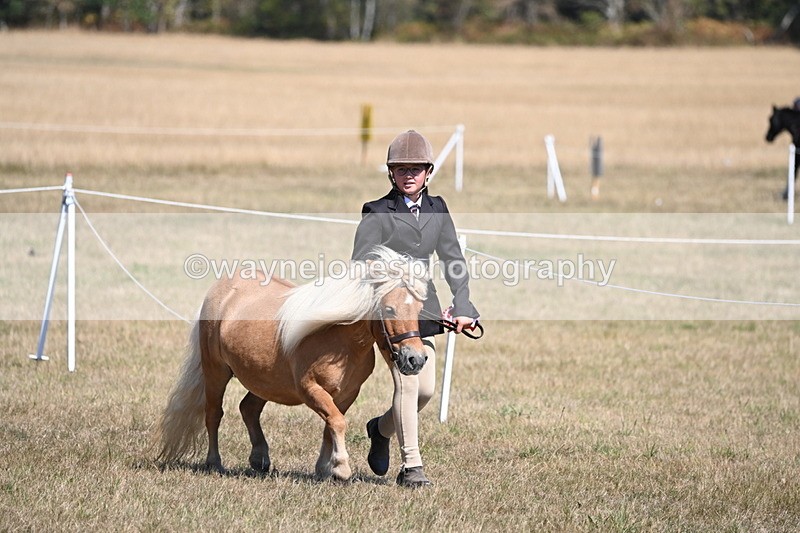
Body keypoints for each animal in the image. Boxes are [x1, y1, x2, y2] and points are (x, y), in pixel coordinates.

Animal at [155, 245, 429, 481]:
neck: (339, 341)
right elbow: (337, 421)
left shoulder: (346, 394)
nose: (416, 359)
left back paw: (260, 459)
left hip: (265, 380)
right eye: (390, 309)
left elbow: (331, 424)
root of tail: (222, 289)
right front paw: (341, 468)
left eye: (419, 309)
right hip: (216, 371)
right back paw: (214, 463)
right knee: (214, 413)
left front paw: (324, 469)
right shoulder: (310, 389)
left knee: (248, 408)